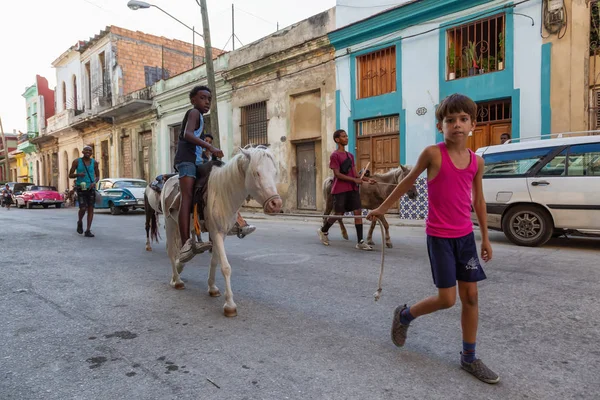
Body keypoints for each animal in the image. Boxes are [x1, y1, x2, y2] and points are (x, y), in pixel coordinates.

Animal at [157, 146, 284, 316]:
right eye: (256, 173)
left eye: (274, 172)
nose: (276, 204)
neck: (224, 192)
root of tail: (168, 180)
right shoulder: (216, 232)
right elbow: (225, 267)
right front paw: (229, 304)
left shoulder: (221, 233)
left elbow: (215, 261)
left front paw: (212, 288)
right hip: (170, 222)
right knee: (171, 251)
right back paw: (177, 280)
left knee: (183, 247)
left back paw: (182, 262)